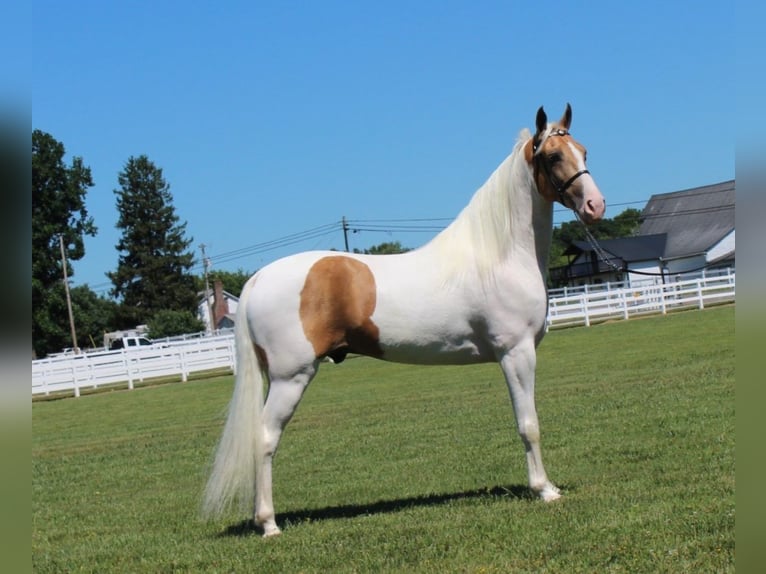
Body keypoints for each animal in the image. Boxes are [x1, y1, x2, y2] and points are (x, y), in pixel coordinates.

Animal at [202, 104, 608, 540]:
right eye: (553, 156)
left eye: (584, 150)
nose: (595, 206)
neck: (499, 255)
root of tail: (257, 279)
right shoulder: (516, 354)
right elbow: (528, 424)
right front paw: (544, 489)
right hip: (290, 377)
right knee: (264, 438)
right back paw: (269, 524)